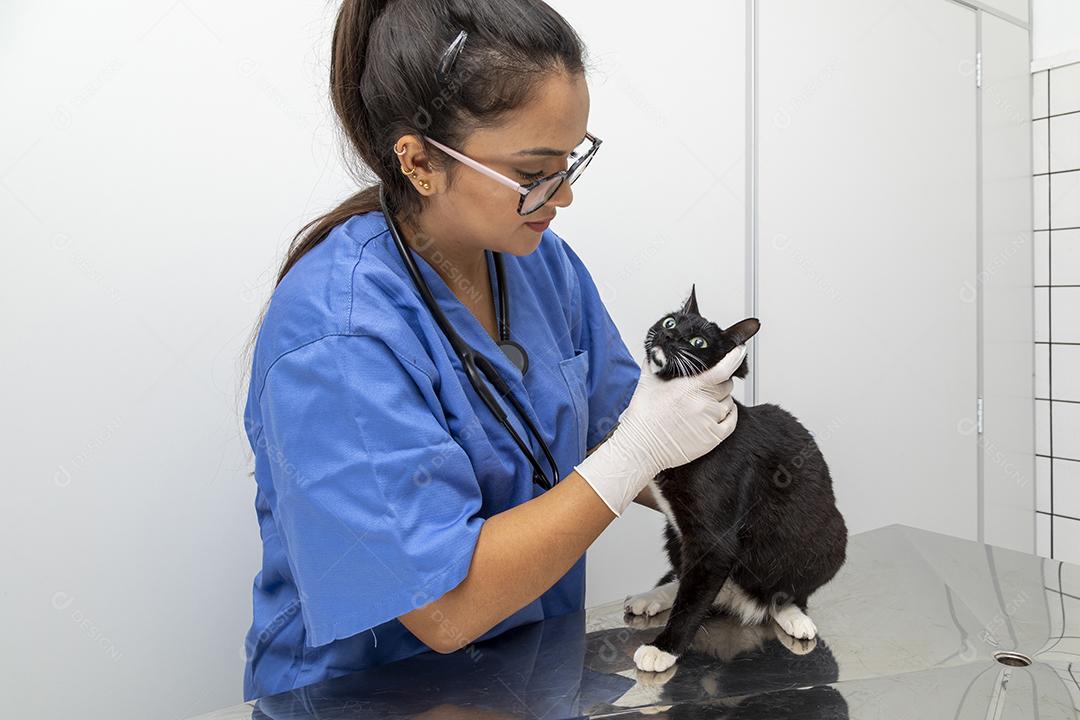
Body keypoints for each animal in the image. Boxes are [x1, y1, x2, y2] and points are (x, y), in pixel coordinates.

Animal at [630, 284, 846, 677]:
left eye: (698, 342)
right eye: (670, 321)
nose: (669, 336)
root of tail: (735, 595)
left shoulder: (715, 542)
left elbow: (693, 599)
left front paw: (663, 648)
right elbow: (689, 586)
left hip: (829, 538)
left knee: (783, 593)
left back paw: (791, 614)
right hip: (674, 535)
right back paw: (651, 597)